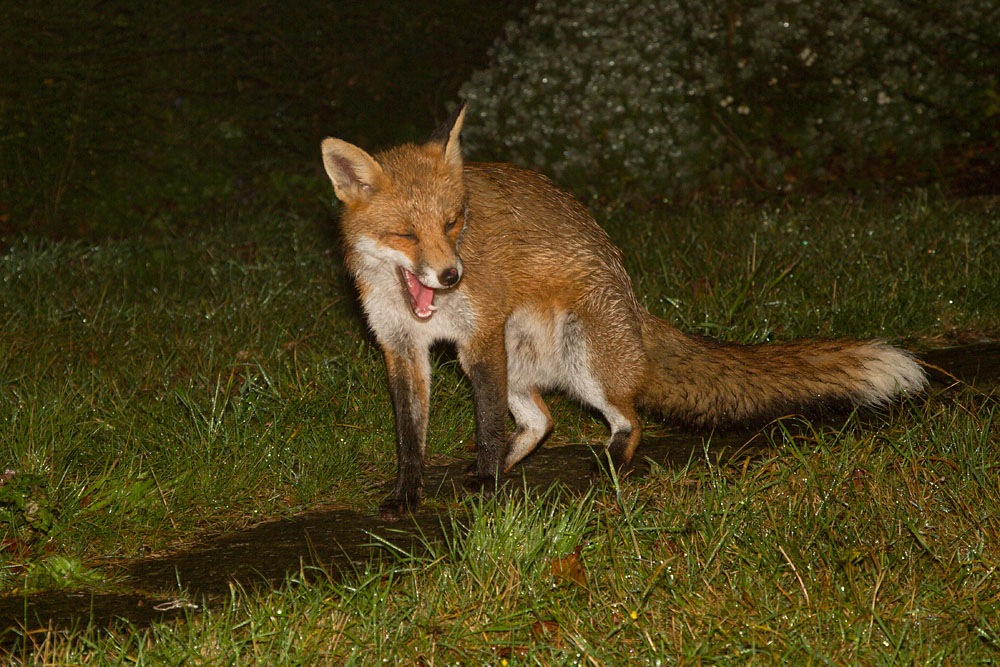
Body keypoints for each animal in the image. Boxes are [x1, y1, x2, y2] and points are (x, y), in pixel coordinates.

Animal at [321, 103, 927, 520]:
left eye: (453, 222)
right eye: (405, 234)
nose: (451, 276)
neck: (416, 303)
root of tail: (635, 305)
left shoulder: (480, 334)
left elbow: (488, 424)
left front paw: (488, 486)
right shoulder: (403, 349)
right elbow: (409, 437)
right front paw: (408, 495)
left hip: (575, 356)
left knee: (629, 422)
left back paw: (603, 460)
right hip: (517, 363)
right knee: (543, 420)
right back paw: (507, 464)